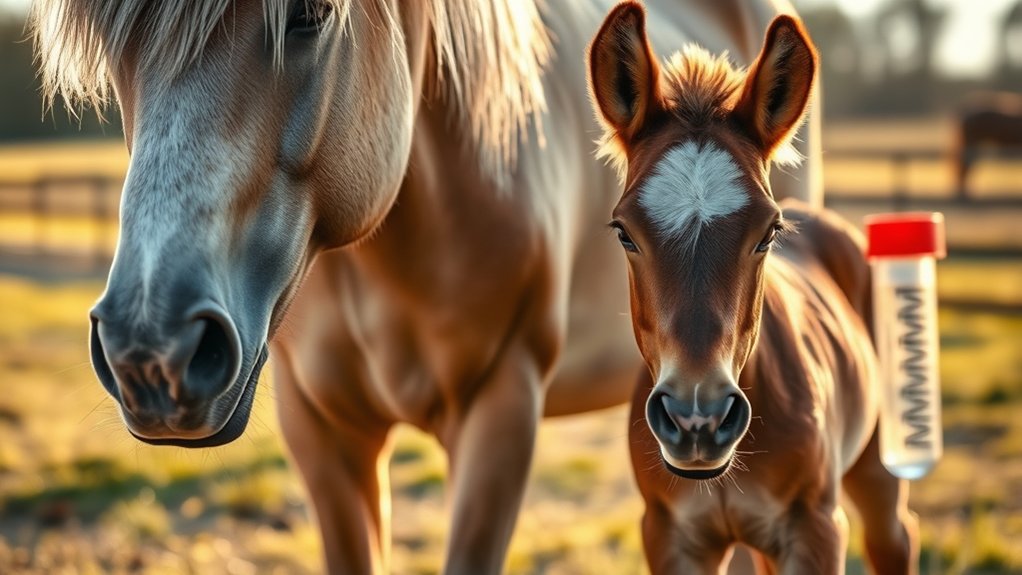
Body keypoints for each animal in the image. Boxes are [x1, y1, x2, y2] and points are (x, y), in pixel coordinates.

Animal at [587, 4, 918, 573]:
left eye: (768, 232)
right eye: (624, 231)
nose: (697, 419)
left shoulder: (816, 530)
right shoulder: (670, 535)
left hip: (879, 464)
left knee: (894, 537)